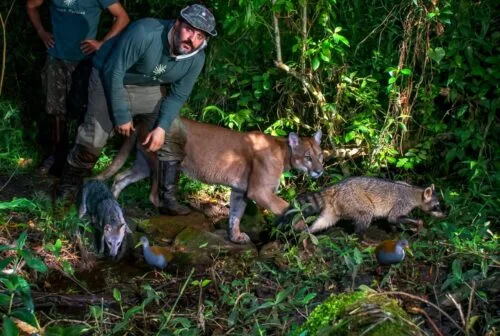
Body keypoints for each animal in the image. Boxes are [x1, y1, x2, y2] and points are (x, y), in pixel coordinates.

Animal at [282, 176, 446, 239]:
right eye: (436, 207)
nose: (444, 215)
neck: (415, 192)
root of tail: (336, 187)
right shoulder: (402, 203)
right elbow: (393, 217)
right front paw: (417, 223)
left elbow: (392, 222)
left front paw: (397, 230)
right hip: (354, 199)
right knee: (366, 213)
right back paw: (362, 237)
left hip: (335, 207)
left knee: (324, 221)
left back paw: (307, 233)